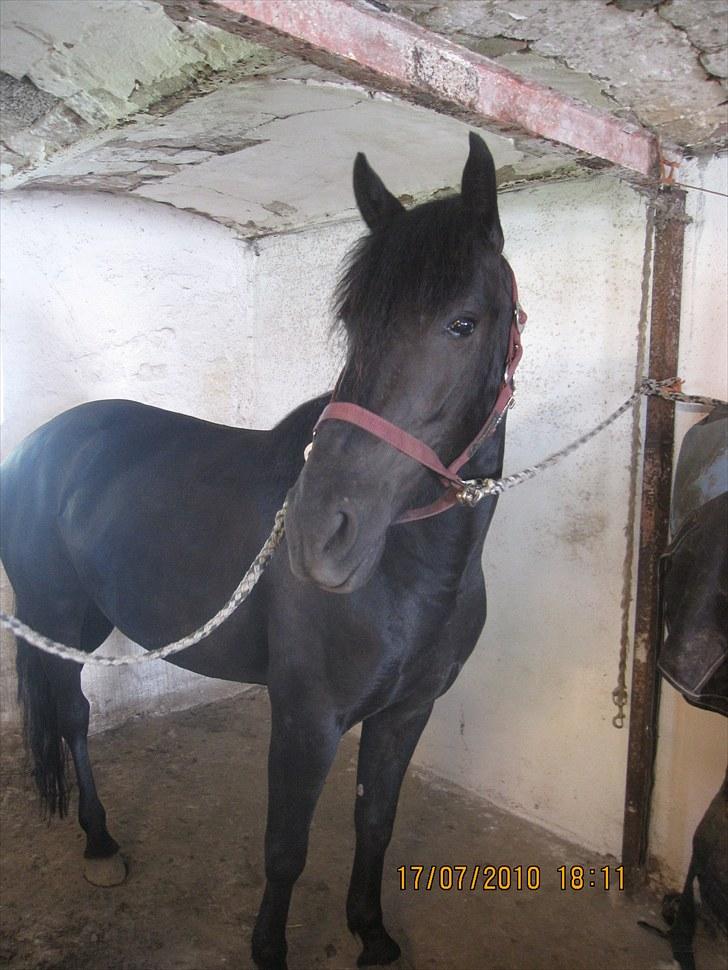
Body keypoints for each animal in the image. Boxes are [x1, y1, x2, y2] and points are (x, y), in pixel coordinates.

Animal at [1, 132, 521, 969]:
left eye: (463, 323)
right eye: (353, 325)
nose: (317, 534)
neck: (411, 576)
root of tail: (41, 444)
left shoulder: (407, 713)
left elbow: (375, 823)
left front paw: (372, 932)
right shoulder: (306, 718)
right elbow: (286, 849)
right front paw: (271, 949)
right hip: (57, 616)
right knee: (74, 714)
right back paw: (100, 842)